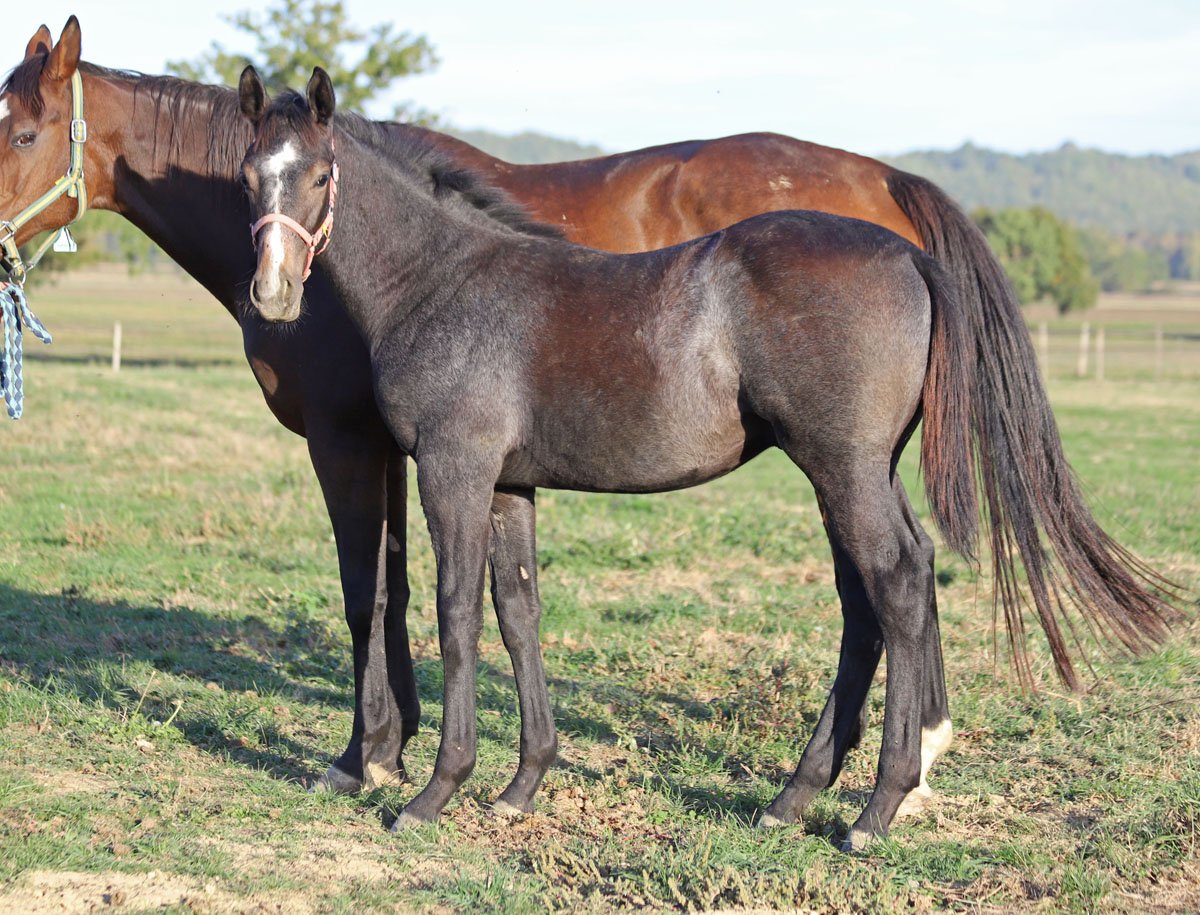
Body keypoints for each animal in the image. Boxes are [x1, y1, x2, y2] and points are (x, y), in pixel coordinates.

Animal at [236, 66, 1172, 850]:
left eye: (319, 175)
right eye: (249, 175)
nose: (272, 295)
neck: (443, 280)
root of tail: (909, 252)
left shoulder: (451, 470)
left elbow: (454, 614)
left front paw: (434, 790)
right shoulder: (510, 483)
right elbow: (518, 611)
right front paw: (521, 785)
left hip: (842, 467)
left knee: (898, 583)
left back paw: (875, 809)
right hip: (857, 470)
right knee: (869, 597)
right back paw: (794, 797)